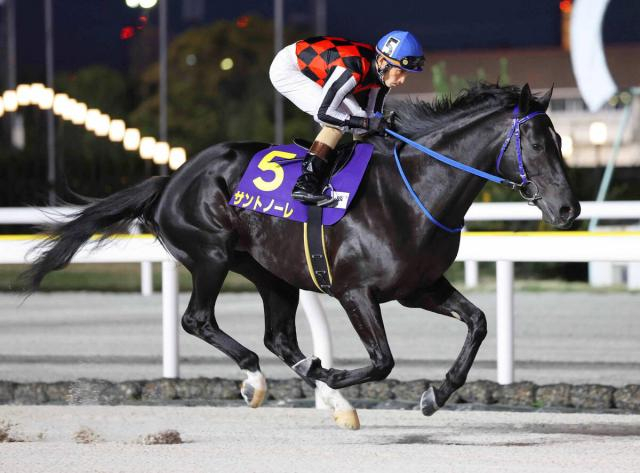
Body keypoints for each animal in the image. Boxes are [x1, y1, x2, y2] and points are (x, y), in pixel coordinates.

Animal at [23, 83, 580, 429]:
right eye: (536, 143)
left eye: (559, 139)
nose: (568, 208)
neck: (413, 192)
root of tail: (172, 179)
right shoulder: (355, 291)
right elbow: (382, 360)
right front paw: (333, 376)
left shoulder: (419, 287)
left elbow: (478, 323)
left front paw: (435, 395)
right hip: (211, 254)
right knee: (198, 320)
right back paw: (259, 381)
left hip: (272, 273)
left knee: (279, 336)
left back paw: (331, 400)